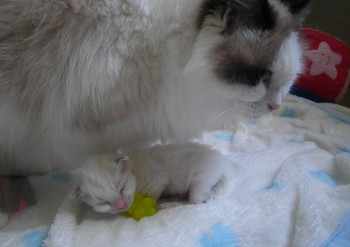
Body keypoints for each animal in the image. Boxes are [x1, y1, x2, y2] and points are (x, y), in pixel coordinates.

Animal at [73, 143, 232, 214]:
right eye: (102, 202)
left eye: (121, 187)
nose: (121, 206)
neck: (135, 171)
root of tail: (224, 165)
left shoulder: (157, 179)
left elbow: (154, 192)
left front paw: (150, 204)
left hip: (202, 178)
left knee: (195, 202)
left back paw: (170, 204)